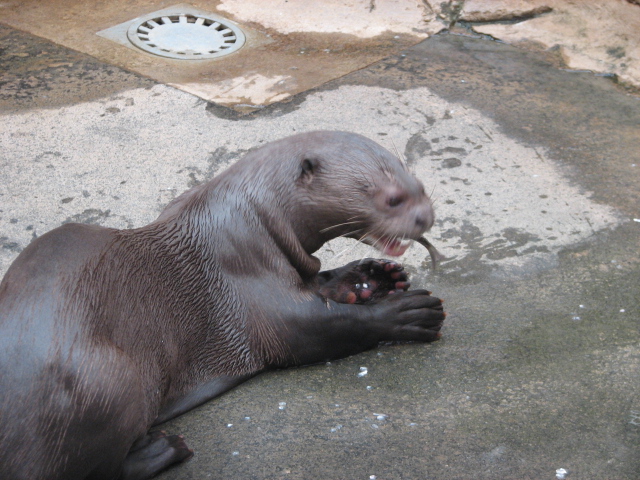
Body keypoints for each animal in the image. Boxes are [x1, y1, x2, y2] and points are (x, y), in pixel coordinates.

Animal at [0, 131, 445, 480]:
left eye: (422, 186)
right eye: (393, 199)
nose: (426, 216)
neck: (254, 215)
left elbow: (319, 281)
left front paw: (372, 277)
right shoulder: (245, 271)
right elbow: (313, 329)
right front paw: (409, 313)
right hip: (107, 384)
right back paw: (163, 449)